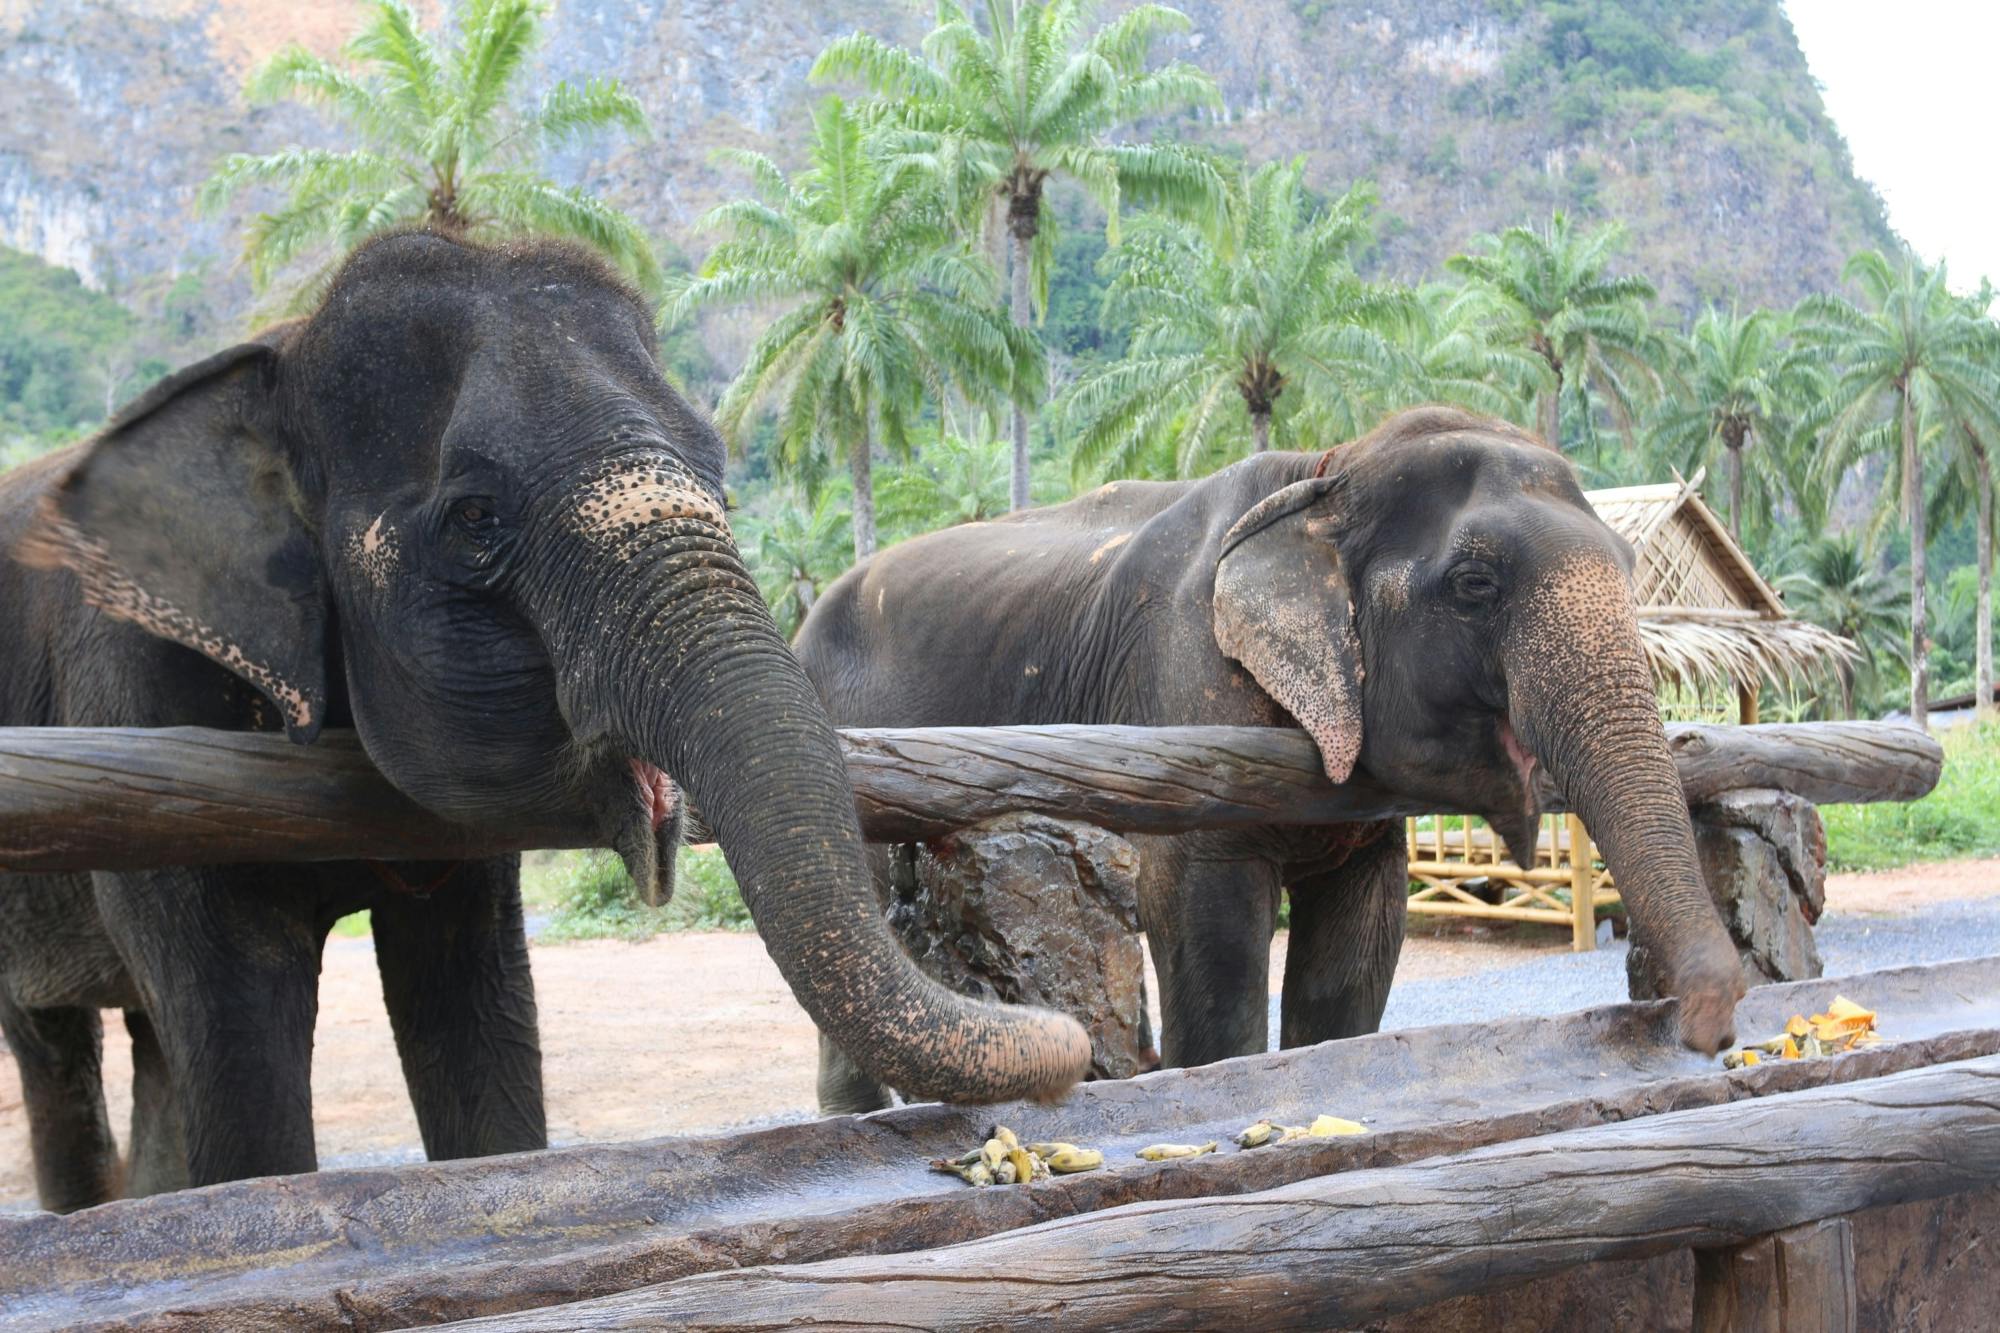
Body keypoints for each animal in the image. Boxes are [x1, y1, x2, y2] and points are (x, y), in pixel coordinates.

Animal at [0, 229, 1088, 1213]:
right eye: (476, 517)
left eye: (722, 474)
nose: (1069, 1047)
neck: (280, 351)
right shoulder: (138, 704)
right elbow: (237, 1025)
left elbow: (469, 1001)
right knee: (56, 1037)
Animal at [797, 406, 1745, 1114]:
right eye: (1474, 585)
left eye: (1633, 569)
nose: (1707, 1026)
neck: (1329, 468)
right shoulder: (1188, 692)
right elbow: (1197, 909)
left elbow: (1358, 944)